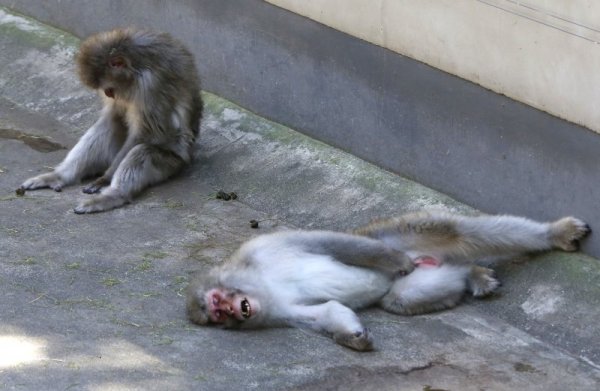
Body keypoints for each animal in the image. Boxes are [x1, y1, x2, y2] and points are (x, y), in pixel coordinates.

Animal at [188, 211, 592, 352]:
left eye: (218, 302)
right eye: (218, 314)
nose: (230, 310)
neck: (260, 282)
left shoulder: (263, 248)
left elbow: (329, 244)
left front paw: (395, 262)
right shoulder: (277, 310)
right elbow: (326, 312)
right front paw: (353, 337)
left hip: (401, 233)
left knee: (454, 231)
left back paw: (554, 233)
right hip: (420, 277)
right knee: (403, 298)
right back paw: (471, 275)